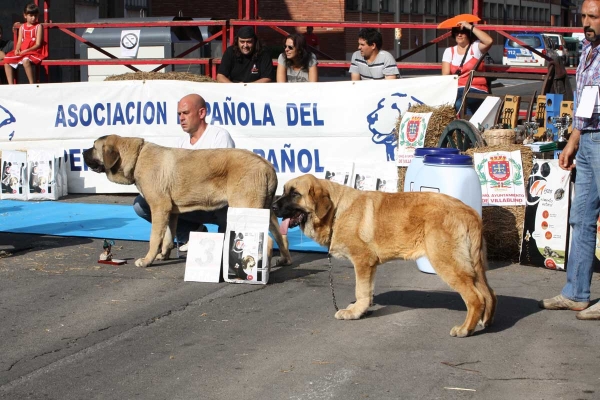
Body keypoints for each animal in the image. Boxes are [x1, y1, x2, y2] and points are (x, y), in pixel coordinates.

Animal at [83, 134, 292, 268]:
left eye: (94, 147)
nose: (83, 152)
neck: (137, 157)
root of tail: (267, 165)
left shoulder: (159, 207)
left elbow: (154, 238)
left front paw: (147, 260)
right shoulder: (170, 212)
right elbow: (168, 237)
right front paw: (163, 255)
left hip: (245, 208)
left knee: (266, 241)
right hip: (266, 210)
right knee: (280, 237)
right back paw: (284, 260)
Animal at [274, 175, 496, 338]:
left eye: (295, 194)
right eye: (284, 192)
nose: (273, 207)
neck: (336, 211)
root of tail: (469, 212)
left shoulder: (362, 261)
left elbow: (360, 290)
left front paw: (354, 312)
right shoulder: (370, 266)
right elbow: (367, 291)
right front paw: (362, 309)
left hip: (447, 264)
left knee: (475, 298)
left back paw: (465, 329)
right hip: (473, 267)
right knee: (489, 294)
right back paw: (485, 321)